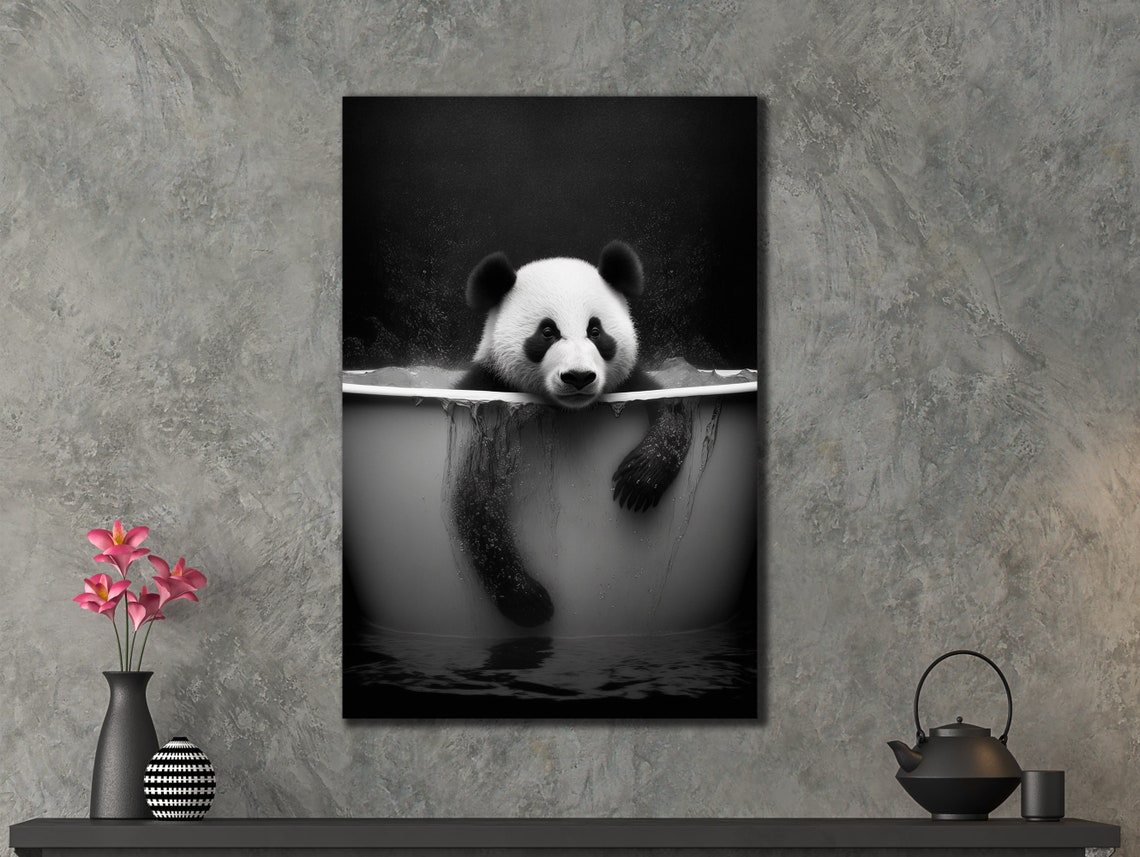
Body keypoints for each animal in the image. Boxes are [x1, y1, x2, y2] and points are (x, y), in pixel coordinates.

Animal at [453, 241, 692, 628]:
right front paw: (528, 602)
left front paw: (640, 480)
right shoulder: (489, 398)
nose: (578, 377)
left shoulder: (628, 382)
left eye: (595, 330)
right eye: (547, 332)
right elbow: (480, 493)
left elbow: (669, 405)